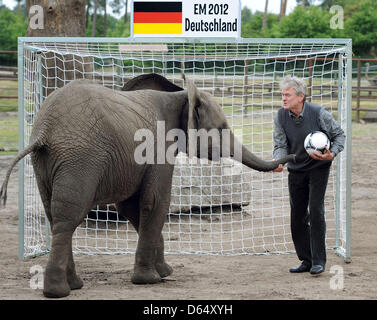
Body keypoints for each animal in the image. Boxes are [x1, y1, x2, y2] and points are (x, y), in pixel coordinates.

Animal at [0, 72, 294, 298]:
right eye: (222, 127)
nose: (288, 160)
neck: (180, 95)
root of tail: (43, 132)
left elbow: (130, 207)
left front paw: (165, 273)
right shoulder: (158, 148)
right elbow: (155, 201)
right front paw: (149, 280)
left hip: (48, 163)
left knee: (55, 215)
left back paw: (74, 285)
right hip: (79, 157)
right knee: (68, 217)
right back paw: (59, 292)